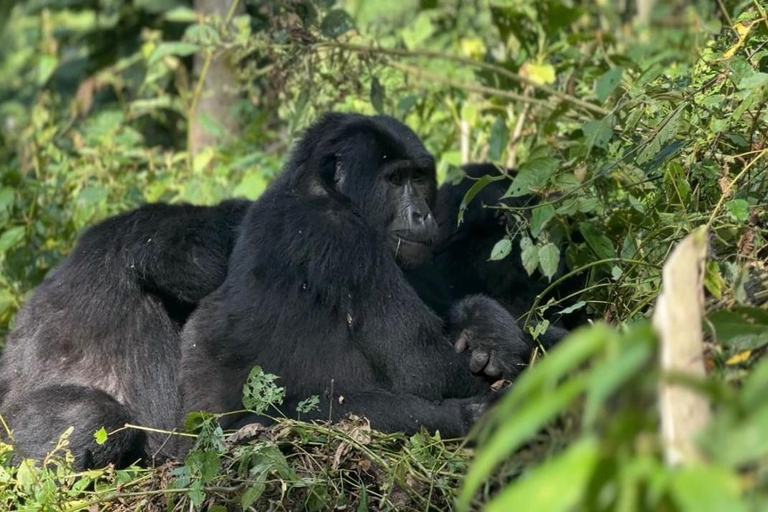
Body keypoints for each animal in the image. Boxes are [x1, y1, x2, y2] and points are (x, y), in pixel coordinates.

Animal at [178, 111, 536, 436]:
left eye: (419, 177)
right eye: (395, 180)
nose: (422, 214)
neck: (320, 190)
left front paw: (486, 327)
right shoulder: (343, 237)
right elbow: (424, 369)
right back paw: (473, 416)